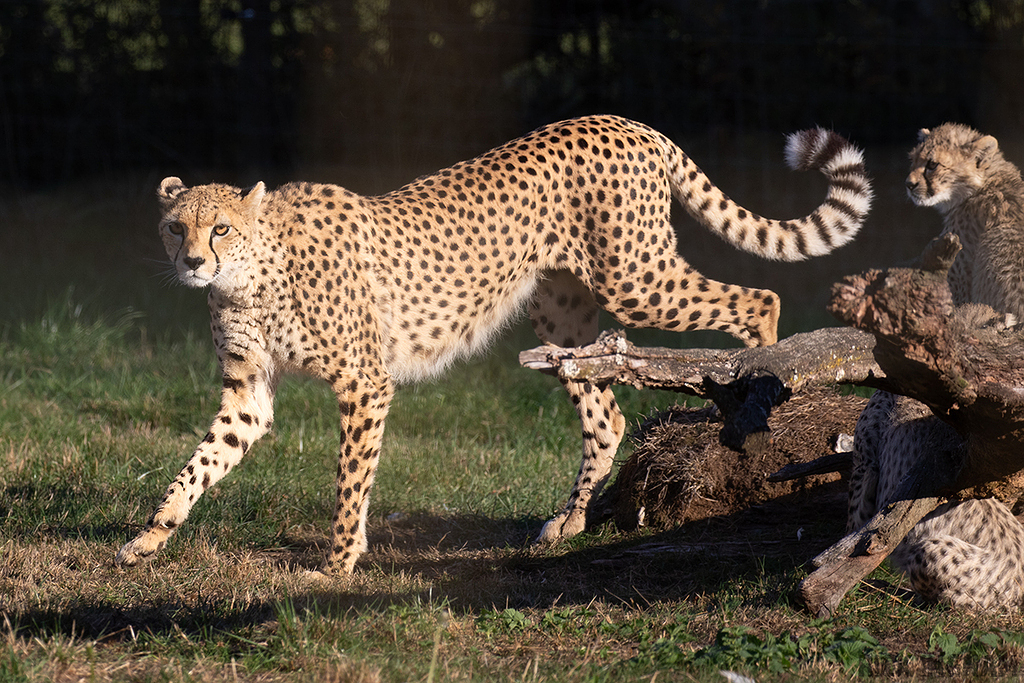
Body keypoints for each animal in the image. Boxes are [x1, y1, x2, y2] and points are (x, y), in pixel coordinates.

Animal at [114, 114, 872, 574]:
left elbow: (350, 478)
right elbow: (199, 463)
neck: (252, 273)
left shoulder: (364, 382)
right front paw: (150, 534)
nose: (192, 263)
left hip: (636, 278)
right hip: (561, 314)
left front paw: (337, 562)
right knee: (608, 414)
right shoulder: (249, 390)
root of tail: (625, 121)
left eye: (220, 228)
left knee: (759, 298)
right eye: (176, 227)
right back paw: (568, 521)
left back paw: (759, 392)